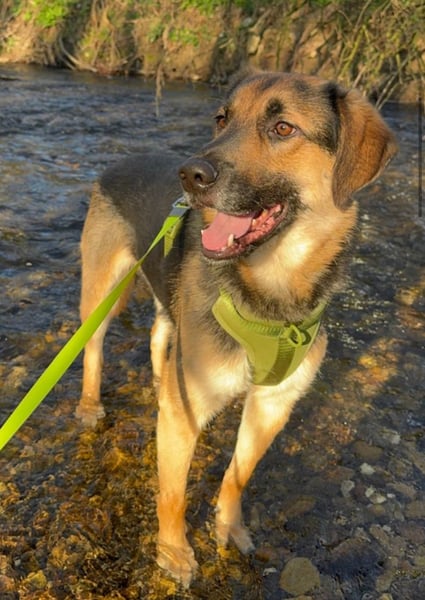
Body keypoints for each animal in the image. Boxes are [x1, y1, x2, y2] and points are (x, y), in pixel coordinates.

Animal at [76, 70, 397, 587]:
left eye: (283, 128)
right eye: (222, 119)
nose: (190, 175)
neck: (271, 294)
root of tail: (121, 161)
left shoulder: (272, 405)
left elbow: (237, 474)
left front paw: (229, 528)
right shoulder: (186, 413)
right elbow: (173, 494)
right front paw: (173, 553)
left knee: (160, 335)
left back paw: (157, 379)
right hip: (104, 290)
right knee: (93, 349)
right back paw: (89, 406)